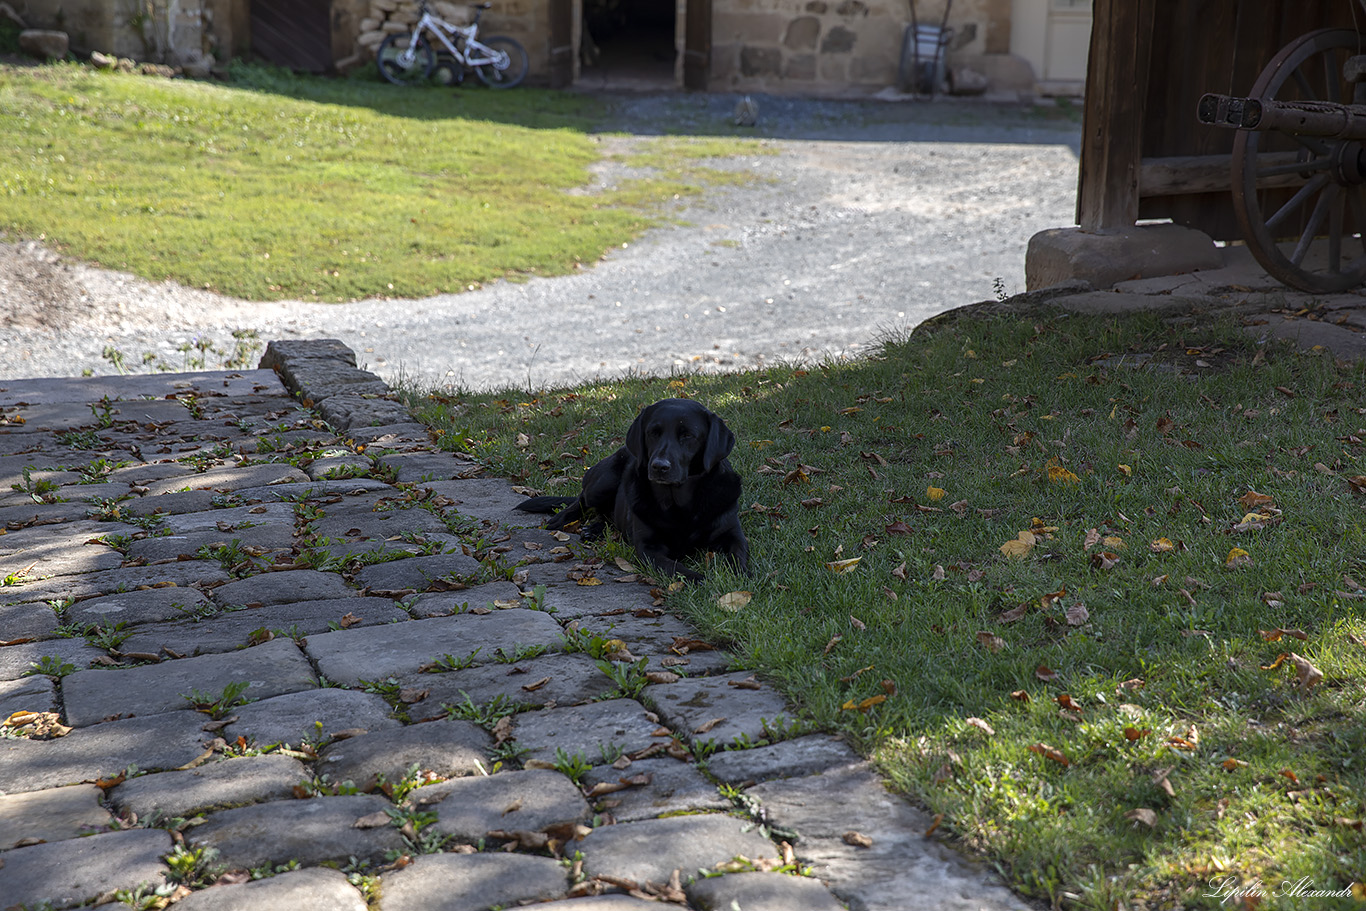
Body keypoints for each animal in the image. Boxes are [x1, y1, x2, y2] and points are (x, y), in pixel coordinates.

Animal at [513, 401, 748, 584]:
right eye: (653, 433)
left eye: (688, 435)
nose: (659, 466)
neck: (680, 504)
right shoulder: (648, 548)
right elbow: (675, 568)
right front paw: (701, 579)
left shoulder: (733, 534)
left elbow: (740, 555)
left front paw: (739, 575)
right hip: (604, 480)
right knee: (582, 499)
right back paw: (564, 518)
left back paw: (594, 529)